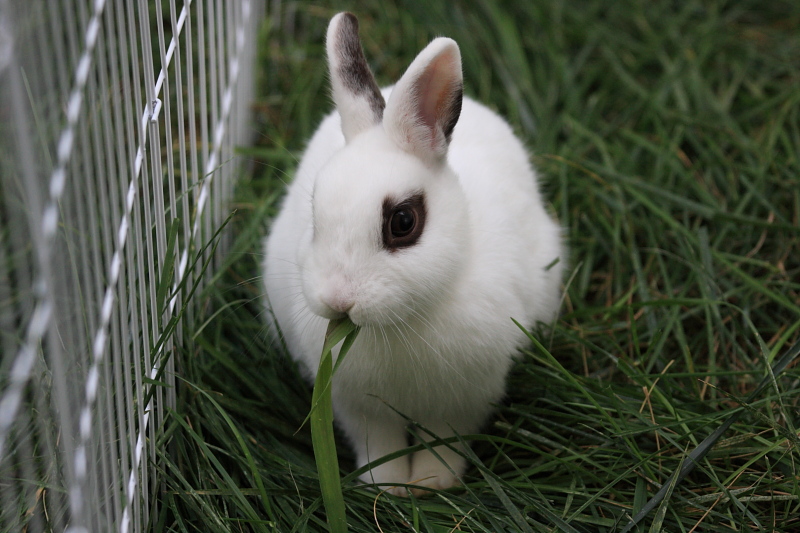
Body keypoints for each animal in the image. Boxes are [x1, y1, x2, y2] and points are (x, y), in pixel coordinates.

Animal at [262, 12, 564, 494]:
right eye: (314, 212)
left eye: (403, 222)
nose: (337, 300)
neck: (398, 326)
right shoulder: (358, 408)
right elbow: (378, 443)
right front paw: (386, 487)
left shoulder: (463, 401)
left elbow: (444, 440)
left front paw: (430, 484)